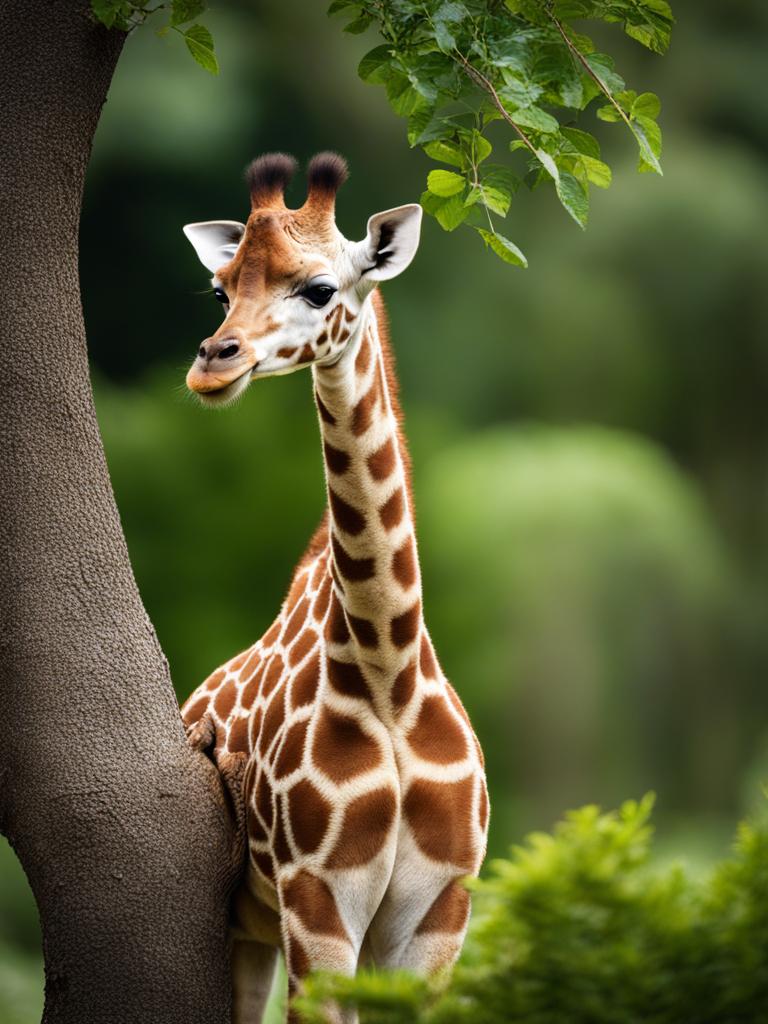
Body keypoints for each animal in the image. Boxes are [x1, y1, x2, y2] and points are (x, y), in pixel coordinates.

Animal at [180, 153, 489, 1024]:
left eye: (319, 289)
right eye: (221, 288)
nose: (213, 362)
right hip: (250, 924)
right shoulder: (316, 899)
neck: (388, 671)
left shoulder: (439, 910)